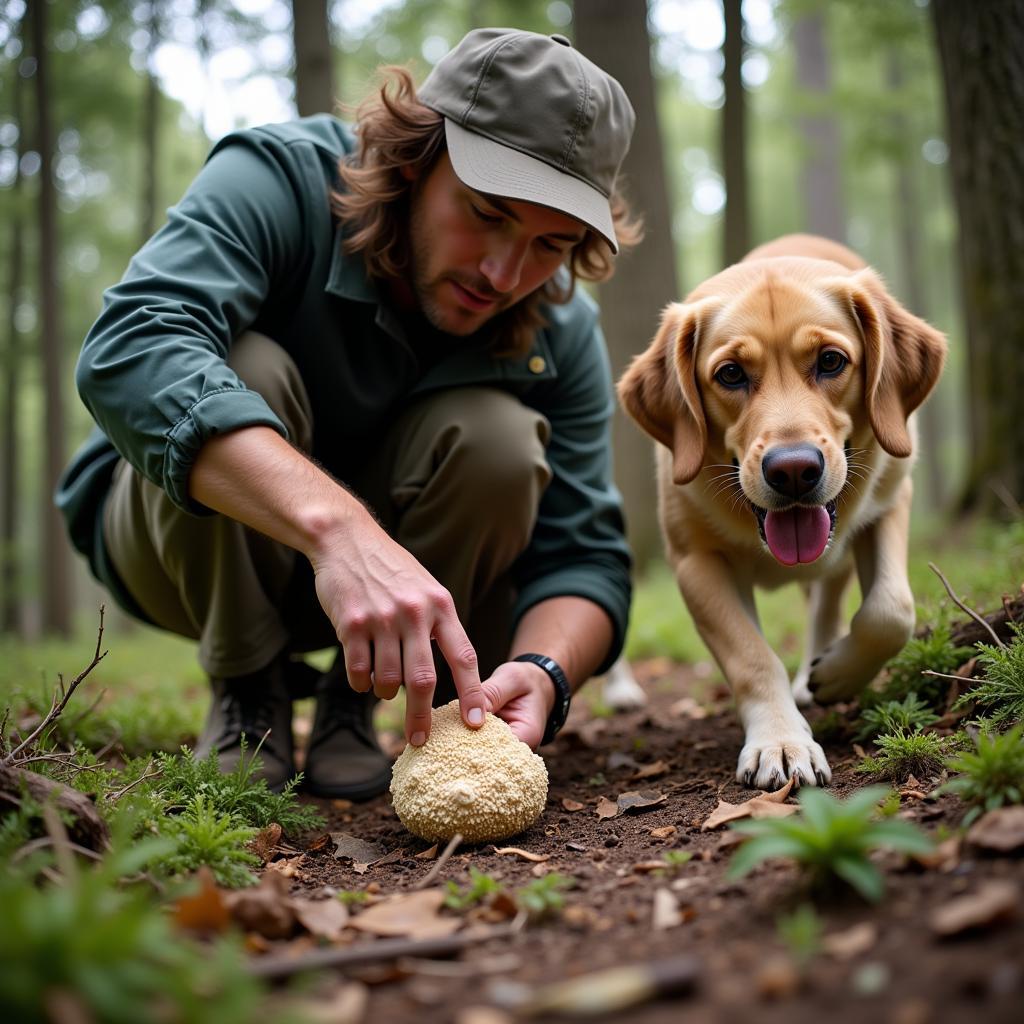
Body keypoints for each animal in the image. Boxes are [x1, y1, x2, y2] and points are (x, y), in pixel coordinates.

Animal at [614, 235, 942, 786]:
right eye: (730, 374)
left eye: (831, 361)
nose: (792, 470)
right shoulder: (697, 564)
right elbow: (752, 657)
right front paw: (782, 742)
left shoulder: (892, 502)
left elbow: (890, 611)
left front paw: (835, 674)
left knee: (828, 601)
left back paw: (818, 668)